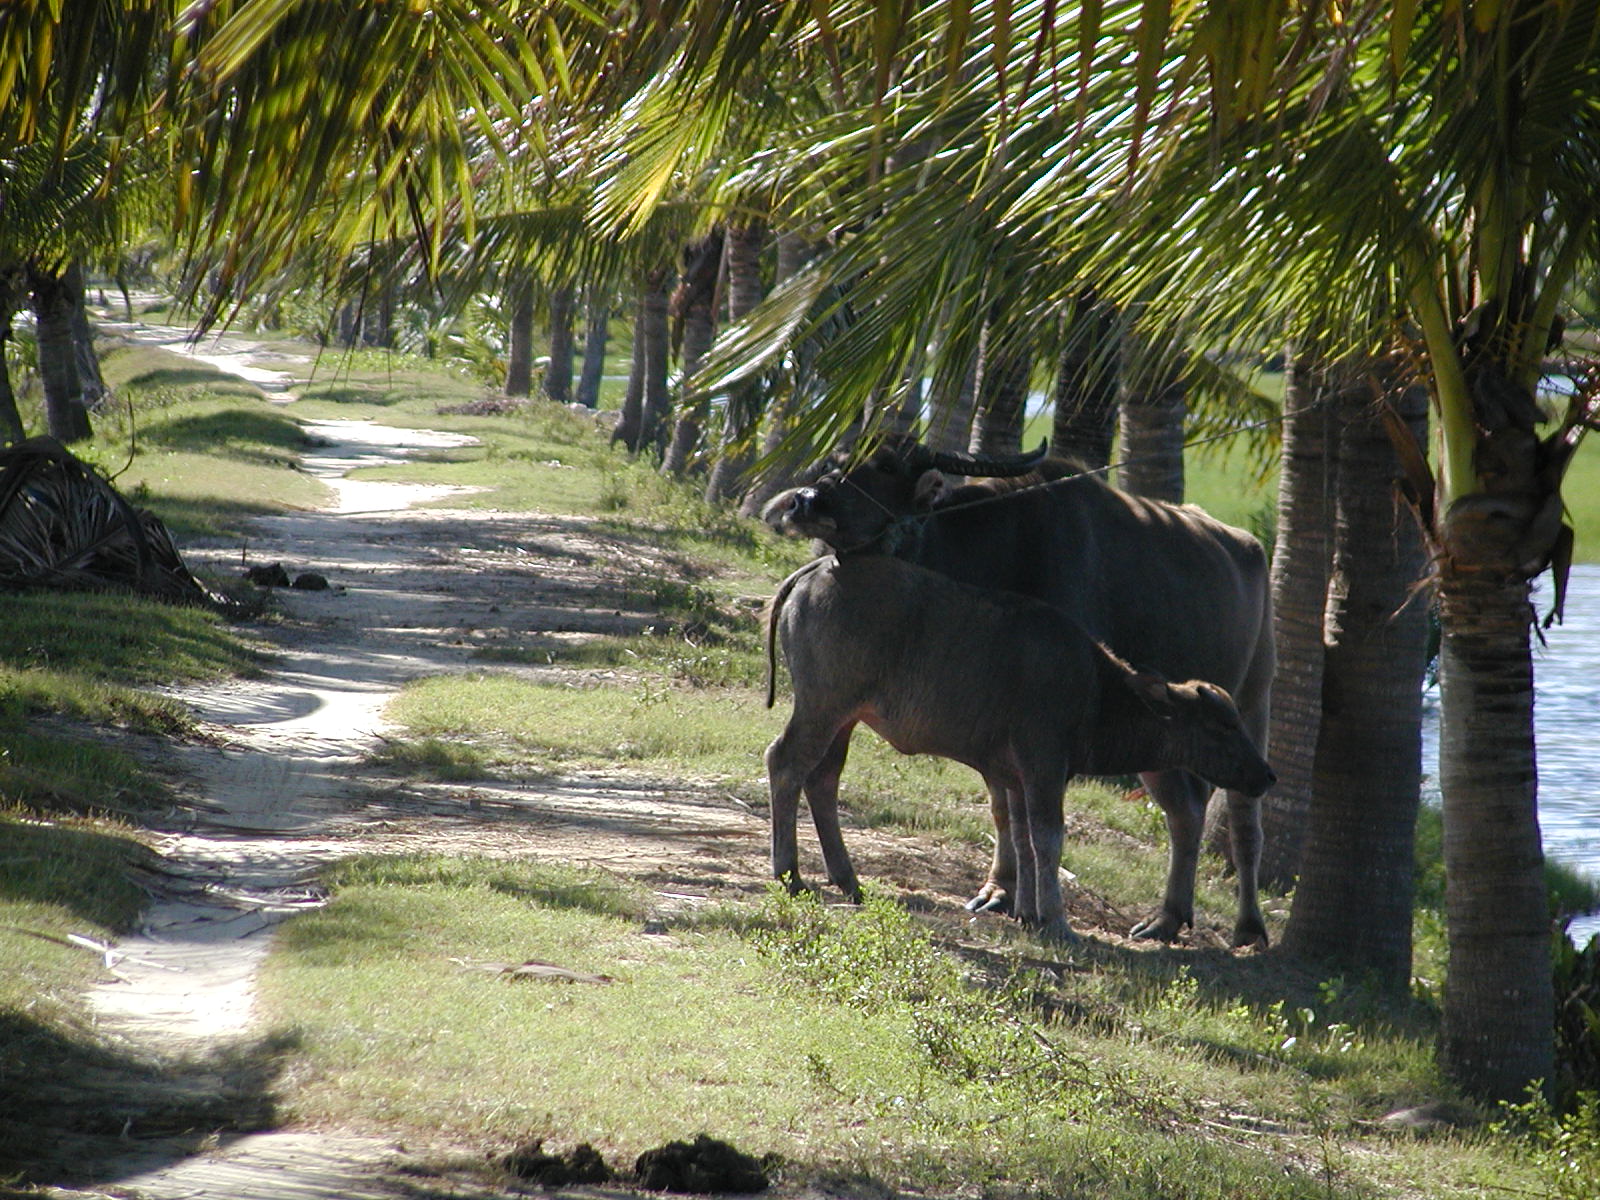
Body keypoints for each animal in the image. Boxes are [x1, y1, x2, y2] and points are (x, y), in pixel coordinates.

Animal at [762, 434, 1276, 948]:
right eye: (837, 459)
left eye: (884, 466)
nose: (805, 501)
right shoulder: (1027, 750)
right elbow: (1020, 819)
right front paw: (1020, 902)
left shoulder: (1022, 751)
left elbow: (1021, 820)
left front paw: (1022, 904)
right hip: (830, 707)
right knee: (799, 765)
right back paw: (802, 874)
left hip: (1254, 703)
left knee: (1236, 817)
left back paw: (1234, 923)